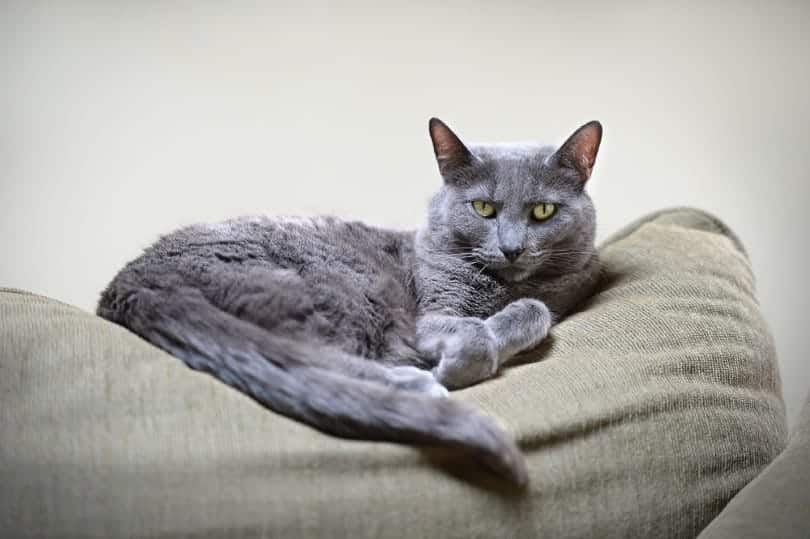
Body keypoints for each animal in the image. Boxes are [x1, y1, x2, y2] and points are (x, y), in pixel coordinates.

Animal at [96, 117, 600, 486]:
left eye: (542, 211)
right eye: (483, 209)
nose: (512, 248)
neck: (503, 285)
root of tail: (129, 284)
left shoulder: (569, 286)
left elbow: (537, 309)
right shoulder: (429, 315)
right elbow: (472, 328)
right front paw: (464, 360)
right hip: (336, 290)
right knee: (303, 356)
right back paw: (417, 384)